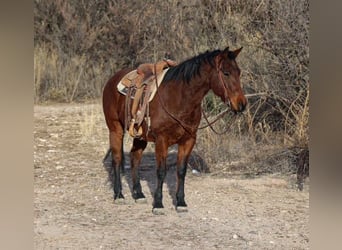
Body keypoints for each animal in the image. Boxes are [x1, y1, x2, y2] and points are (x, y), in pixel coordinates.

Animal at [103, 46, 247, 213]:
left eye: (239, 72)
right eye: (226, 73)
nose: (241, 104)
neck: (179, 97)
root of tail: (112, 79)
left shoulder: (188, 140)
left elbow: (181, 170)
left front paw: (181, 202)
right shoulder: (161, 140)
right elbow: (161, 171)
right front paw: (158, 204)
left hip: (141, 136)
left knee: (135, 158)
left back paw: (138, 194)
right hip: (115, 129)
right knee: (117, 159)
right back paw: (119, 195)